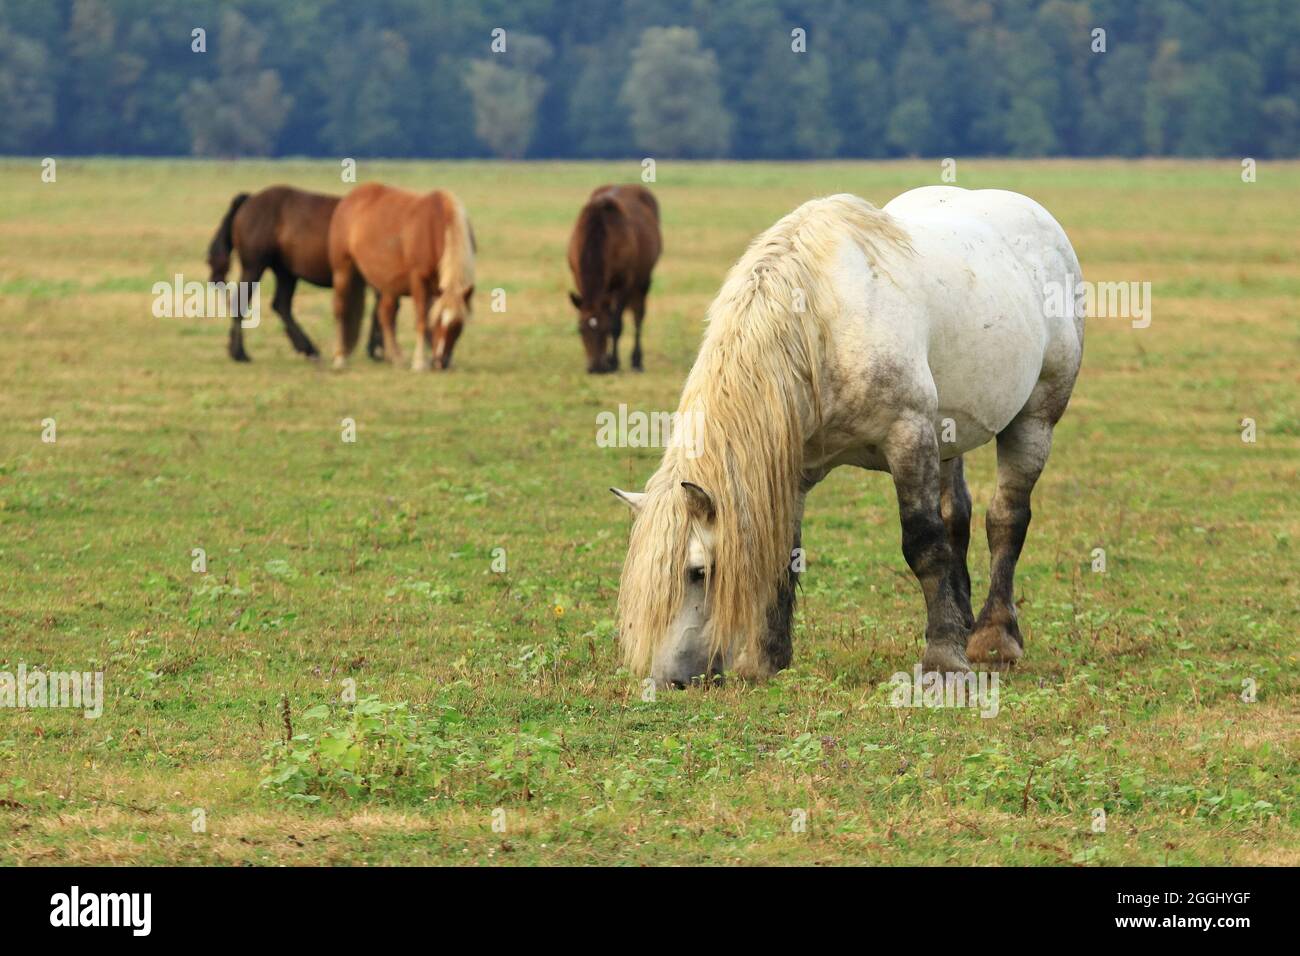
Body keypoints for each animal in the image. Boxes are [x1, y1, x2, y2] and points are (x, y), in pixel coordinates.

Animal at [206, 186, 389, 363]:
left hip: (285, 273)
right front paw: (377, 351)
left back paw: (308, 349)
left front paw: (376, 350)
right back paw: (240, 353)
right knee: (242, 303)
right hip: (255, 267)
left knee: (281, 305)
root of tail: (249, 200)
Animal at [328, 183, 475, 371]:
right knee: (341, 310)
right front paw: (419, 362)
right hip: (343, 270)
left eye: (457, 326)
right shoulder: (418, 280)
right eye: (437, 321)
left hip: (387, 284)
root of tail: (349, 199)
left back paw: (395, 357)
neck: (435, 226)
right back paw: (340, 358)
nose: (440, 363)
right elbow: (421, 320)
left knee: (385, 314)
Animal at [567, 184, 661, 373]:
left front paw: (614, 362)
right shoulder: (579, 278)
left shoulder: (624, 283)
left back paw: (636, 360)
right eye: (580, 329)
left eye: (605, 329)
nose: (596, 368)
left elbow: (617, 324)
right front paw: (610, 361)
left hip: (643, 280)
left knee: (638, 316)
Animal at [612, 187, 1085, 689]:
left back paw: (994, 638)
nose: (672, 679)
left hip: (1034, 419)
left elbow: (924, 546)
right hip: (950, 435)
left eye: (698, 572)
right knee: (958, 517)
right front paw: (765, 659)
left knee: (1006, 520)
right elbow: (786, 554)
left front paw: (943, 659)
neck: (821, 327)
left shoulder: (909, 437)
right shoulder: (794, 466)